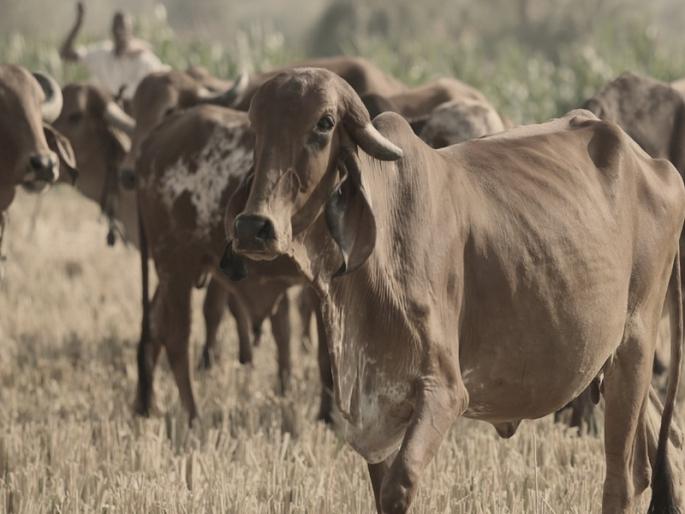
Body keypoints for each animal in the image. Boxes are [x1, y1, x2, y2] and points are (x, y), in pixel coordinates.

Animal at [134, 104, 333, 423]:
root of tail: (159, 137)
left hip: (174, 273)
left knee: (153, 325)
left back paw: (146, 406)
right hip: (175, 267)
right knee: (176, 338)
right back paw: (193, 416)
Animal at [222, 68, 685, 514]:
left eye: (324, 123)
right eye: (257, 127)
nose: (253, 227)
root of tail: (657, 166)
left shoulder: (443, 390)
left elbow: (399, 488)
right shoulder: (374, 409)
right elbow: (380, 491)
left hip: (635, 345)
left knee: (622, 482)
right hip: (616, 363)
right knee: (662, 450)